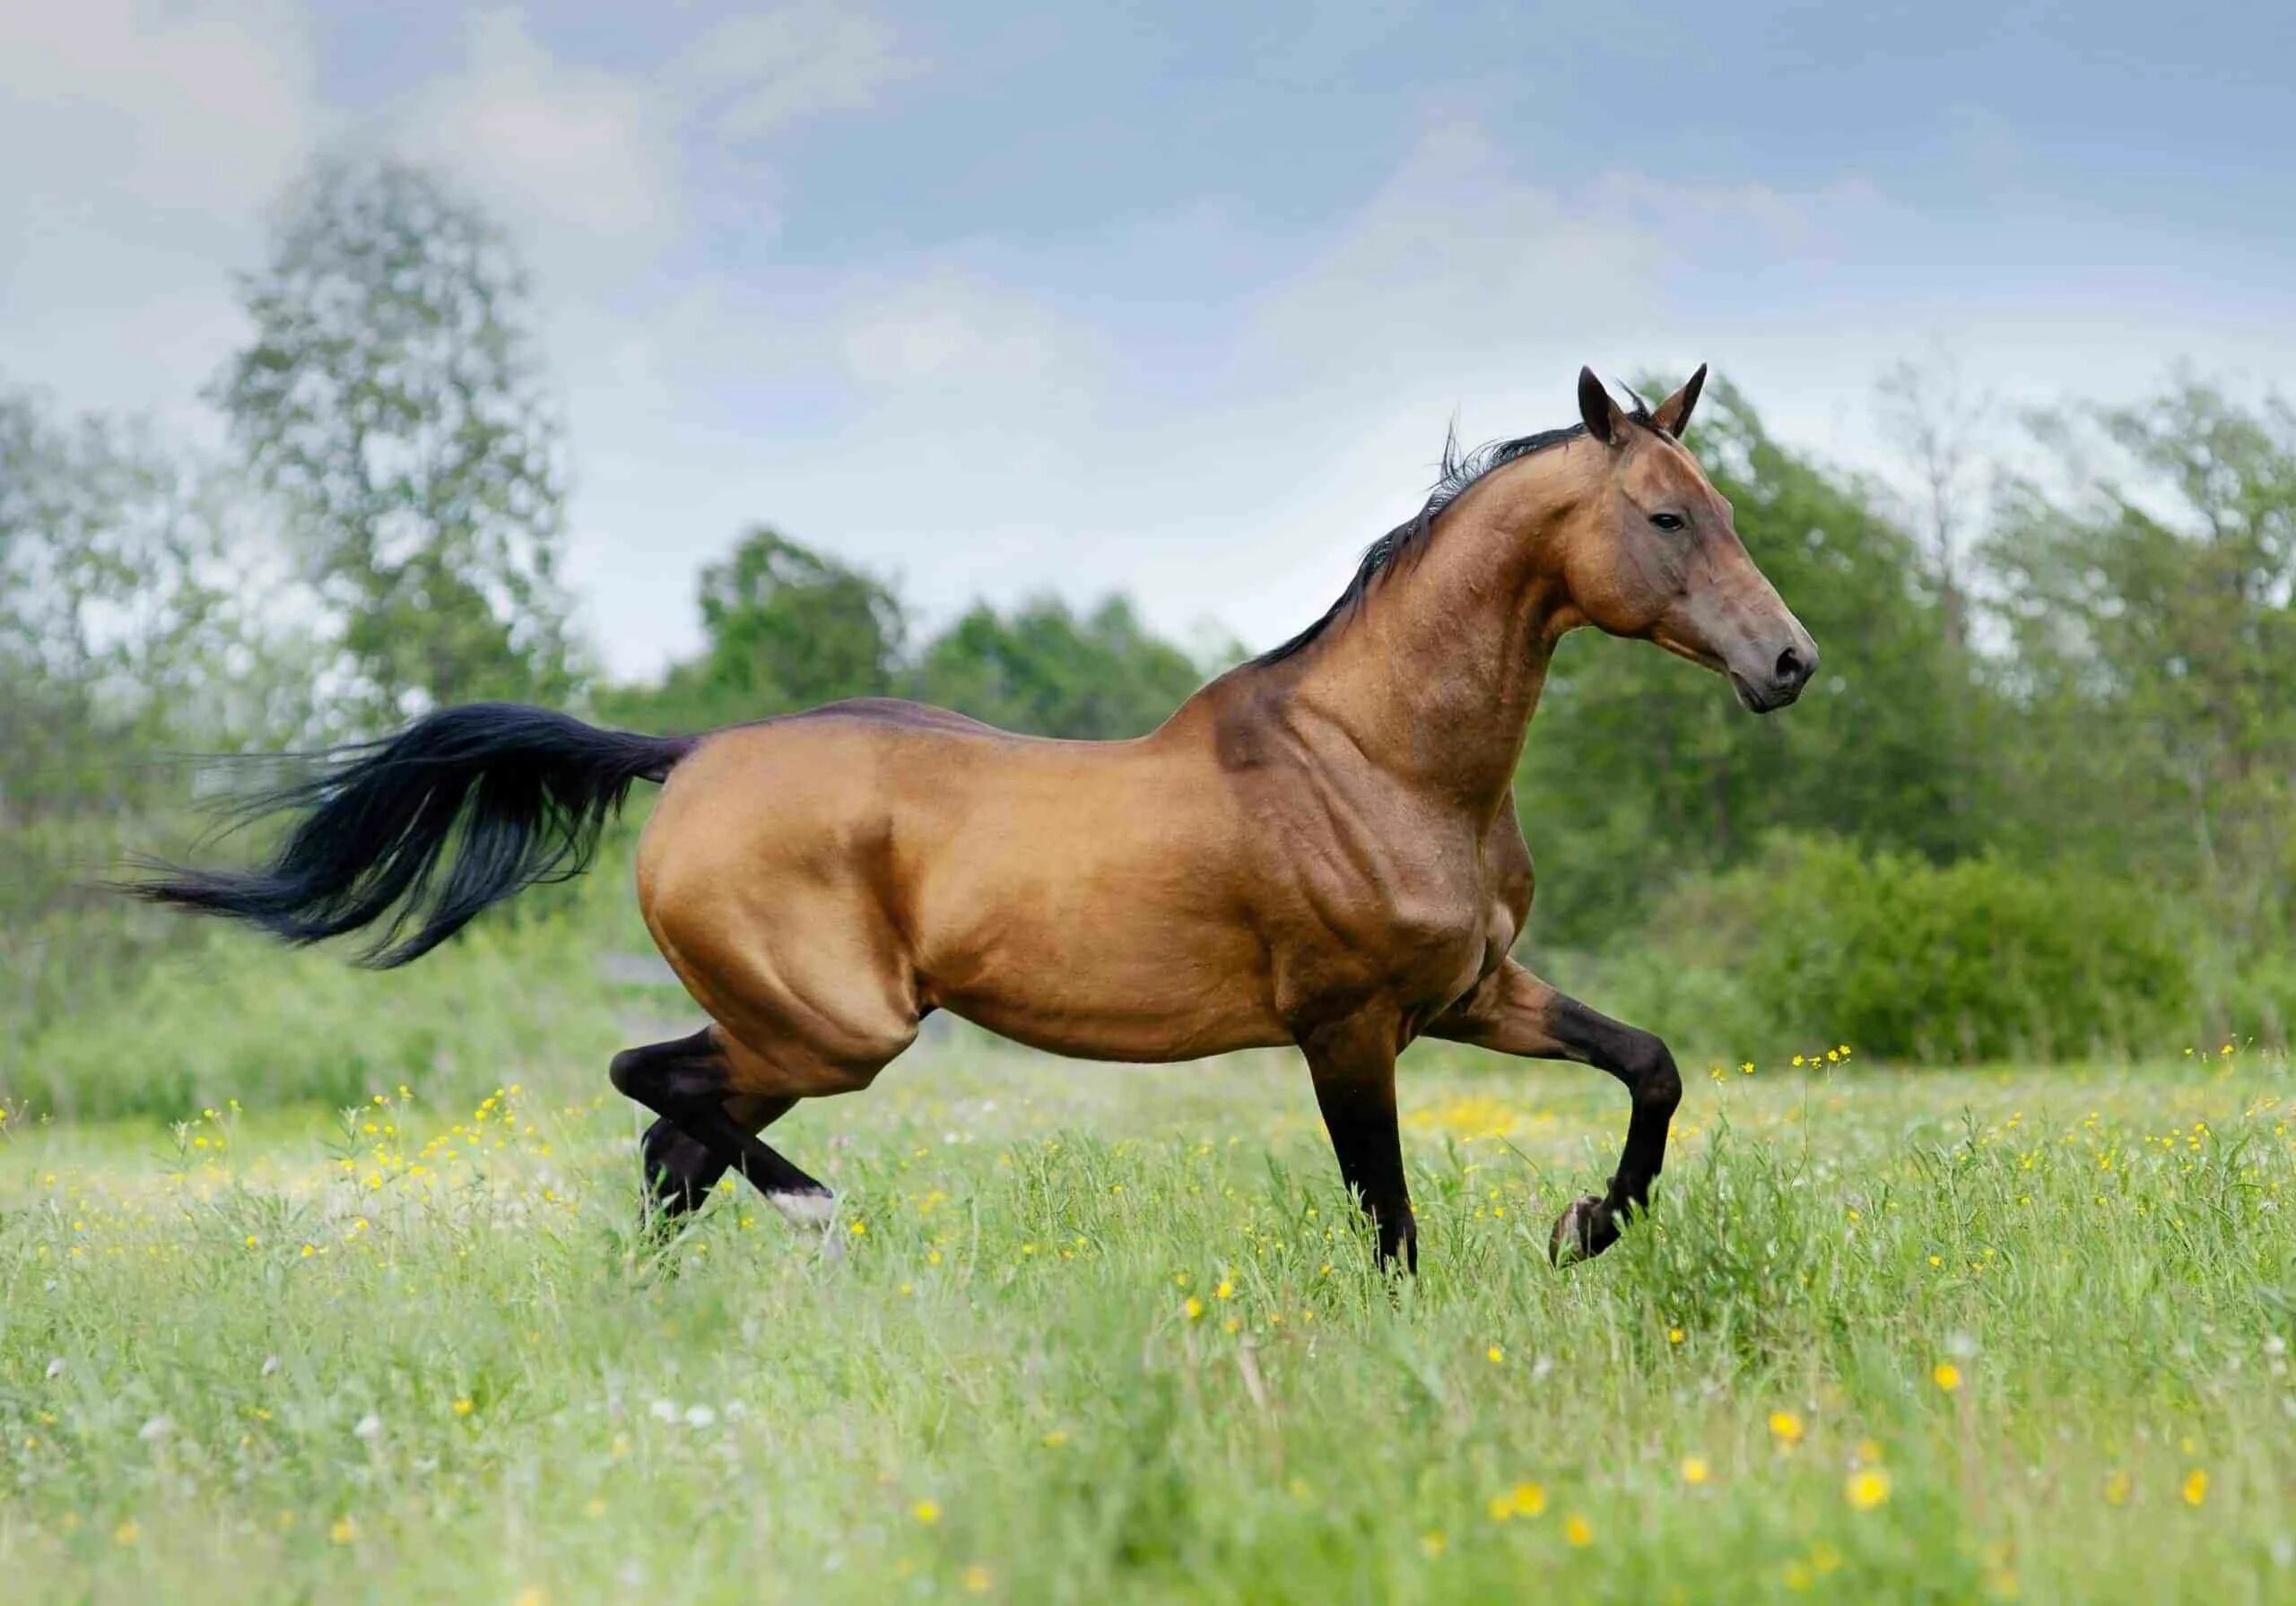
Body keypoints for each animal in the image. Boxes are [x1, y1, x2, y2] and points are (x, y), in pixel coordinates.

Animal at [138, 364, 1809, 1266]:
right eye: (1667, 516)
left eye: (1726, 505)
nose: (1788, 662)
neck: (1380, 758)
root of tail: (690, 753)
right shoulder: (1347, 1028)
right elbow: (1387, 1219)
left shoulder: (1471, 992)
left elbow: (1652, 1068)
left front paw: (1586, 1225)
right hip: (833, 1029)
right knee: (652, 1090)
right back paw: (816, 1218)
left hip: (792, 1037)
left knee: (671, 1146)